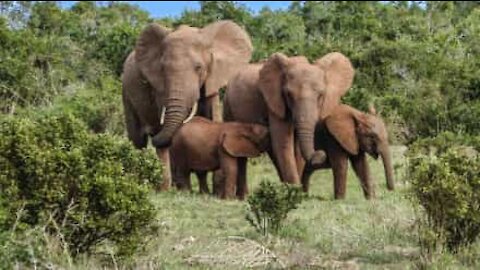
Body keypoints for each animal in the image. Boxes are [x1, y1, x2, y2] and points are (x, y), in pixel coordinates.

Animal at [122, 20, 253, 190]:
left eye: (199, 68)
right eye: (163, 69)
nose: (153, 132)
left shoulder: (212, 78)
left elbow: (213, 117)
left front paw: (215, 189)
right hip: (126, 93)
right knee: (138, 141)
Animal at [223, 51, 354, 185]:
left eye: (321, 95)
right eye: (288, 95)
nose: (321, 154)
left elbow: (296, 149)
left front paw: (296, 187)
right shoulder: (275, 103)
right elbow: (283, 143)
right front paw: (294, 188)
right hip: (228, 105)